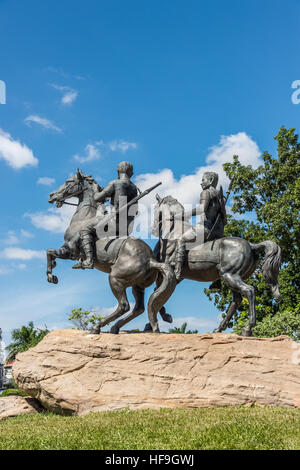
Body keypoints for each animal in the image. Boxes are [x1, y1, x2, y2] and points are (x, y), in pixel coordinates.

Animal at [46, 171, 176, 332]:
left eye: (69, 181)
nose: (52, 195)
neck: (83, 218)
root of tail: (151, 260)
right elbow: (50, 253)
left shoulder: (69, 250)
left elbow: (49, 252)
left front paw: (51, 276)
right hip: (138, 286)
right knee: (138, 308)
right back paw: (115, 327)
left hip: (115, 279)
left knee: (124, 306)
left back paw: (97, 327)